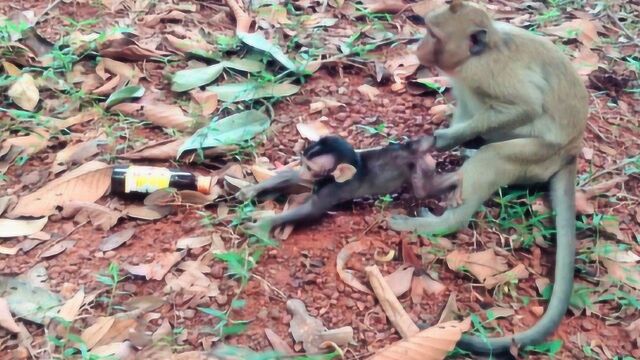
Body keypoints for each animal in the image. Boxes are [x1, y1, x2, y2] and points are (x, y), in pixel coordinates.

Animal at [238, 135, 458, 231]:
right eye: (303, 164)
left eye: (309, 167)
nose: (303, 169)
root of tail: (411, 149)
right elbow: (292, 178)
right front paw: (251, 190)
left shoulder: (334, 188)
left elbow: (311, 211)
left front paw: (262, 225)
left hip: (421, 167)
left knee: (423, 191)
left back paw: (456, 182)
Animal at [388, 0, 588, 356]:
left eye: (433, 35)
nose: (418, 47)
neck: (482, 51)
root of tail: (572, 151)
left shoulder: (486, 73)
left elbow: (526, 106)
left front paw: (442, 139)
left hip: (539, 154)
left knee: (495, 154)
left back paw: (437, 212)